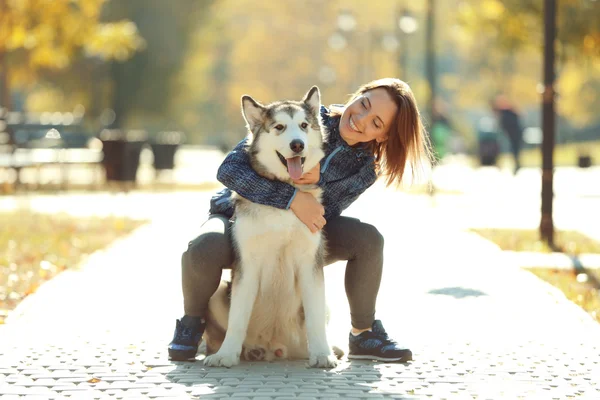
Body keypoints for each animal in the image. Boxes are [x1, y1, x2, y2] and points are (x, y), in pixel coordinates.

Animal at [204, 87, 340, 368]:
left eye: (303, 125)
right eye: (279, 127)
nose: (297, 144)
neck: (285, 195)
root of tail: (275, 346)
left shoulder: (311, 263)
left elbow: (314, 317)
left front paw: (323, 354)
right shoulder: (247, 263)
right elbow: (237, 318)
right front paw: (226, 355)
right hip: (218, 291)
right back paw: (244, 351)